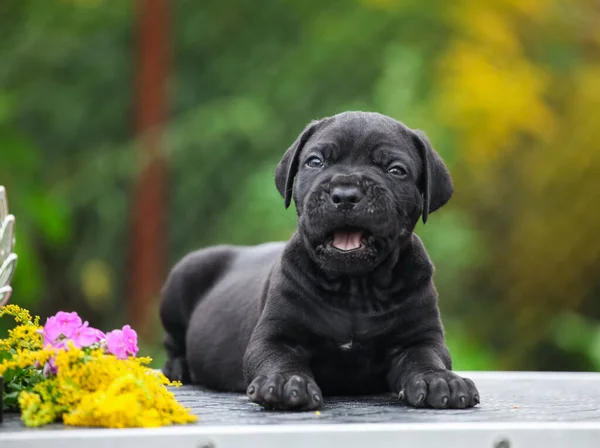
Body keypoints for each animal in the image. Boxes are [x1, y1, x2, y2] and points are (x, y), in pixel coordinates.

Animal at [158, 111, 478, 410]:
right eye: (315, 162)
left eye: (396, 170)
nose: (346, 194)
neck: (355, 288)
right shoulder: (274, 336)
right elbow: (276, 358)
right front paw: (284, 382)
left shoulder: (419, 338)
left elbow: (426, 358)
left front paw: (440, 380)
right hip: (185, 275)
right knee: (173, 341)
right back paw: (178, 366)